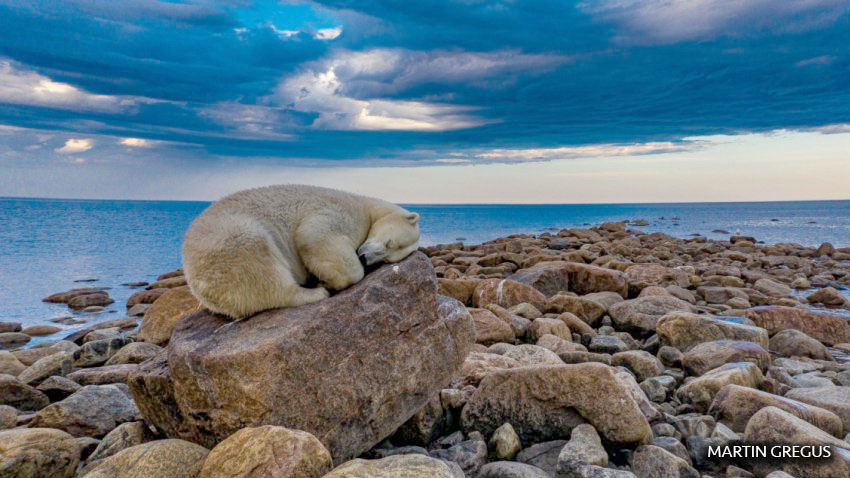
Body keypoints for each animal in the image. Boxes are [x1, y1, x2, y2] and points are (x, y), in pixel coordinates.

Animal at [181, 185, 420, 320]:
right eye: (389, 242)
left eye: (388, 258)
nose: (364, 257)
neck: (364, 204)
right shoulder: (339, 210)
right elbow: (313, 235)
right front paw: (329, 280)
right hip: (230, 243)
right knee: (264, 271)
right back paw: (317, 292)